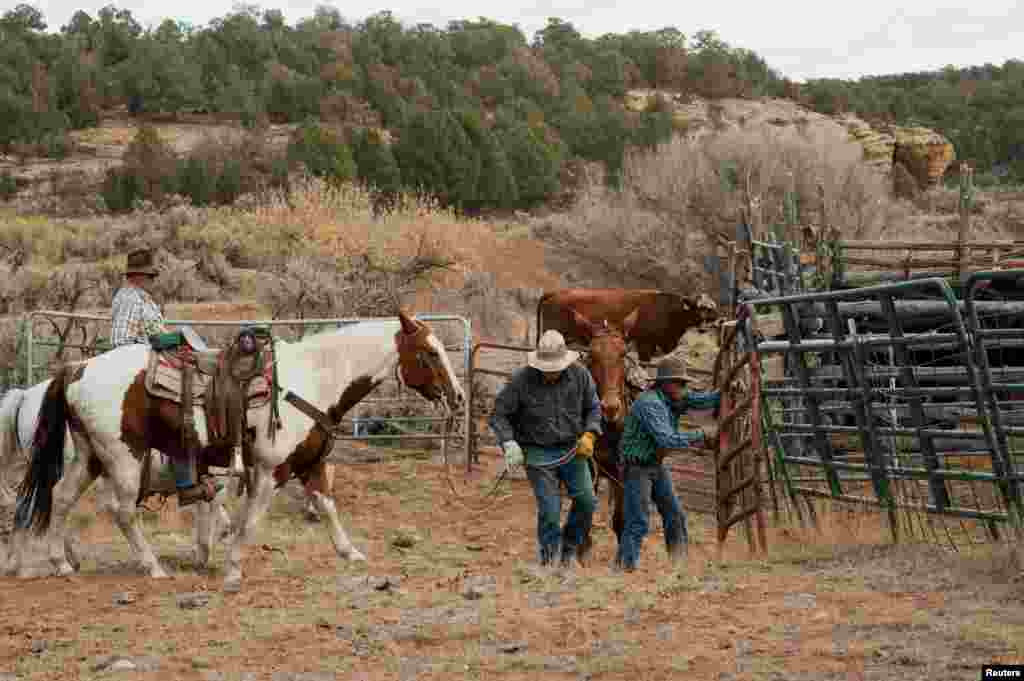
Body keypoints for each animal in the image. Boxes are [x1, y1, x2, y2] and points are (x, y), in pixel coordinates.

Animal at [7, 311, 464, 585]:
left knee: (60, 497)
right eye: (429, 352)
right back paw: (152, 567)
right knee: (121, 511)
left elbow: (327, 506)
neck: (314, 377)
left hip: (90, 455)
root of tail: (76, 368)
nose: (458, 397)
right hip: (123, 456)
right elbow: (251, 520)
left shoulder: (311, 462)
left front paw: (350, 552)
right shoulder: (271, 470)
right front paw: (231, 568)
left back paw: (61, 562)